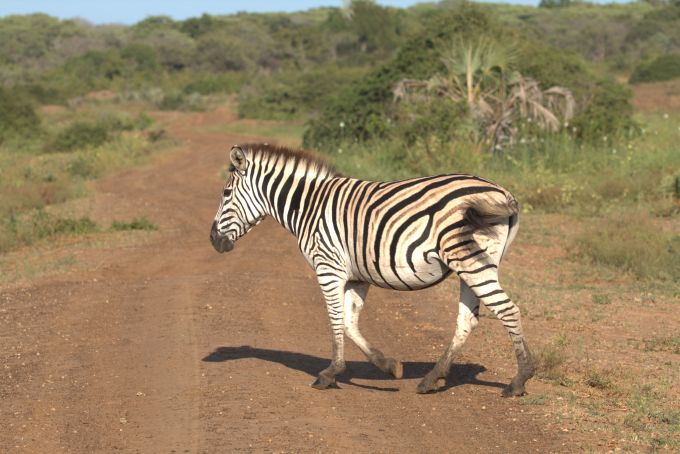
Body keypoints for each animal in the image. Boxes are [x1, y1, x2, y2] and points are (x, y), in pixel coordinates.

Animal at [210, 144, 532, 396]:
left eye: (225, 193)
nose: (213, 240)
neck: (309, 207)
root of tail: (503, 193)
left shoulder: (328, 268)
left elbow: (336, 320)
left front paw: (330, 373)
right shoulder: (356, 277)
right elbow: (350, 323)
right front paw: (389, 366)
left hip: (468, 259)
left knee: (507, 310)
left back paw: (519, 380)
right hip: (472, 264)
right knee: (467, 321)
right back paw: (431, 378)